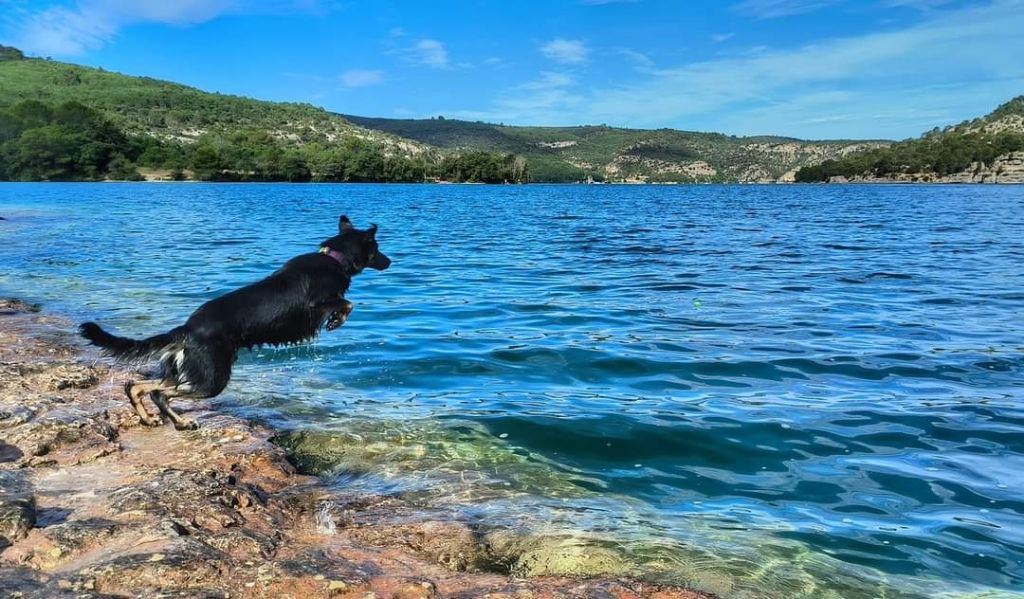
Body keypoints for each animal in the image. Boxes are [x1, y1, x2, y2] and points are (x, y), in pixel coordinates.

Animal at [79, 215, 389, 430]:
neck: (334, 258)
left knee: (137, 386)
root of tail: (186, 330)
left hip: (186, 371)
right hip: (211, 378)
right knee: (158, 392)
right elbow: (346, 303)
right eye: (376, 248)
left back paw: (163, 420)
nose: (390, 262)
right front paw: (337, 320)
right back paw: (176, 420)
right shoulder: (317, 304)